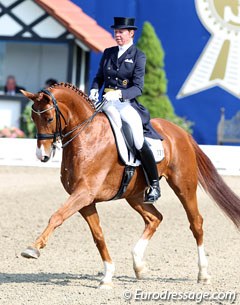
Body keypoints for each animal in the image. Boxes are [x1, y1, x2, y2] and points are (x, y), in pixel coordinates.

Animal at [21, 82, 240, 288]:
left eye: (49, 119)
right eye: (32, 118)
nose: (42, 156)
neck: (88, 136)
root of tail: (182, 132)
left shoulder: (84, 193)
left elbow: (57, 216)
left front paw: (33, 248)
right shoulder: (85, 200)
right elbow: (98, 235)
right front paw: (107, 276)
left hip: (183, 186)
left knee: (196, 223)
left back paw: (203, 274)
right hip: (134, 194)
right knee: (155, 218)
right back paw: (139, 266)